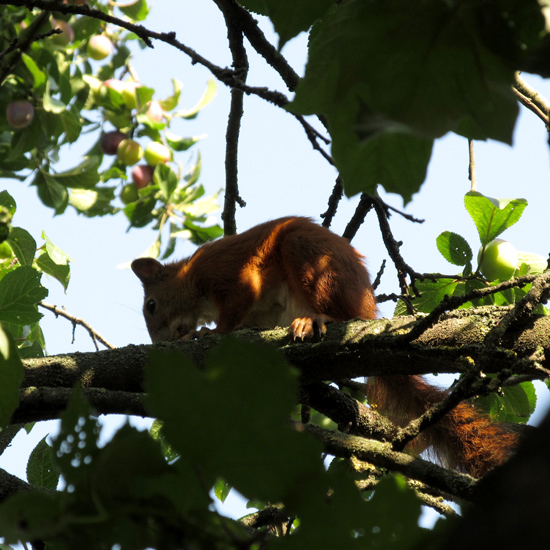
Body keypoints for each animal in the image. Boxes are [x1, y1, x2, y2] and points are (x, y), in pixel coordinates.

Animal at [133, 216, 516, 478]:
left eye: (151, 305)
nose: (161, 343)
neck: (192, 279)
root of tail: (367, 307)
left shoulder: (229, 272)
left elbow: (238, 303)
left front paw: (207, 333)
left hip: (309, 257)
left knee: (338, 313)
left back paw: (316, 320)